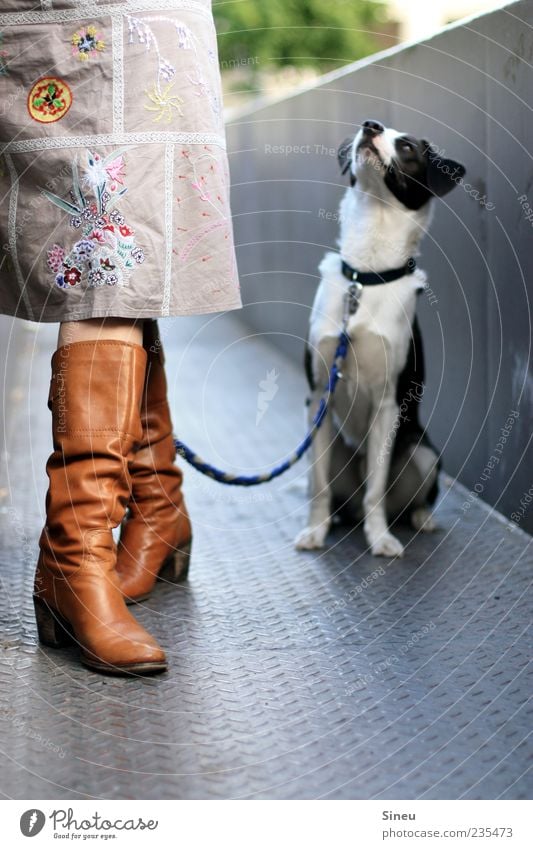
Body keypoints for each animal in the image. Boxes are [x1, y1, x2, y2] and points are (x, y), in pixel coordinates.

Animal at [298, 119, 464, 556]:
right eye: (375, 125)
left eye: (407, 147)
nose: (370, 126)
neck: (366, 276)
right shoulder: (318, 395)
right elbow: (318, 486)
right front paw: (315, 531)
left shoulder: (388, 403)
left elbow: (376, 487)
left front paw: (381, 539)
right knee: (332, 492)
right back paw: (338, 520)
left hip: (423, 454)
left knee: (398, 499)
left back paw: (420, 520)